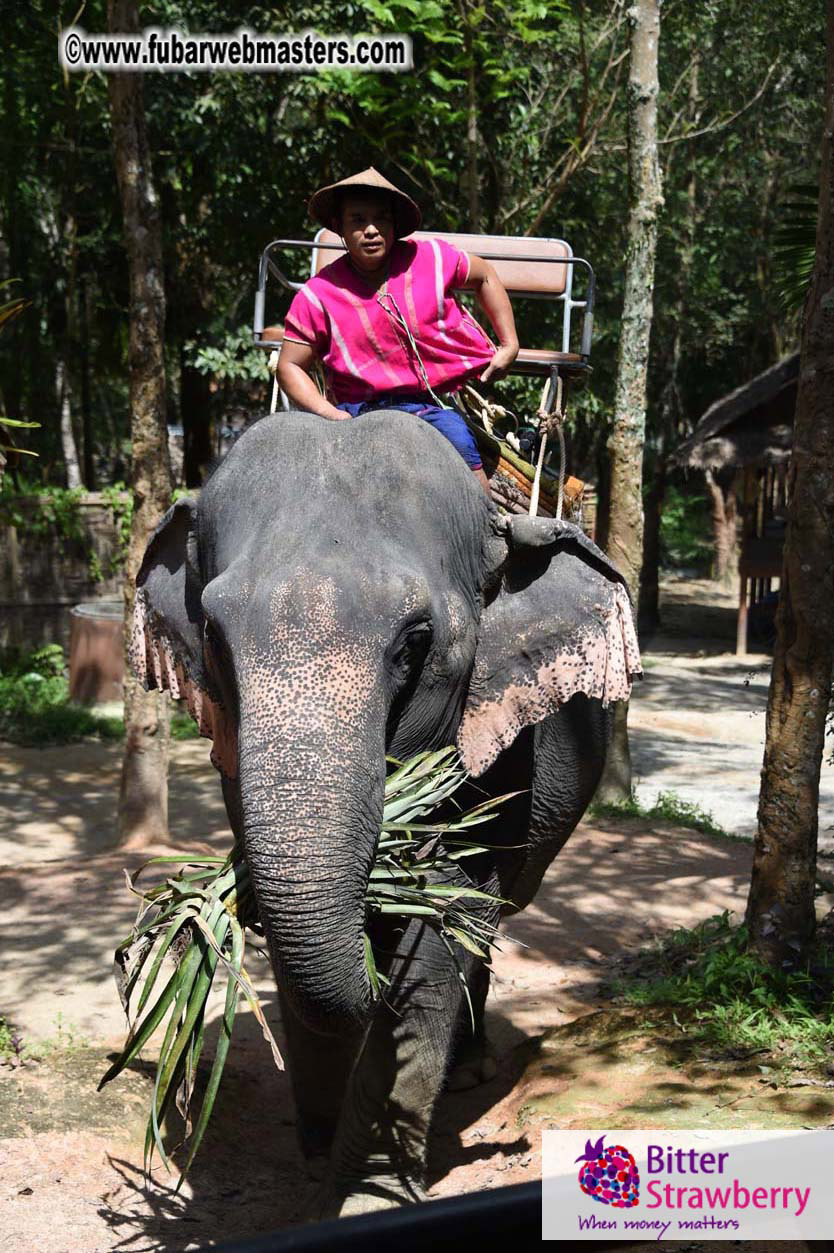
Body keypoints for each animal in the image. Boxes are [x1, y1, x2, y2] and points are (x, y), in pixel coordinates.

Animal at [130, 409, 641, 1217]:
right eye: (213, 636)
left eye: (416, 641)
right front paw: (317, 1141)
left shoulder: (501, 752)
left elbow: (439, 936)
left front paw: (370, 1194)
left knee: (487, 928)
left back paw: (469, 1068)